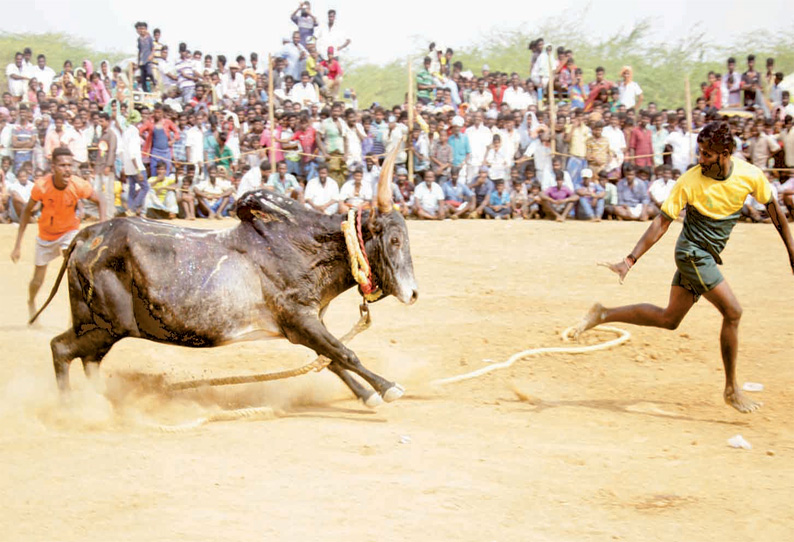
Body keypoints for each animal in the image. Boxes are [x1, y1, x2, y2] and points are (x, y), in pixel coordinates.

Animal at [30, 149, 418, 408]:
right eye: (395, 240)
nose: (413, 294)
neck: (307, 246)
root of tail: (87, 235)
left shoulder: (303, 326)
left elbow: (332, 360)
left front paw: (367, 394)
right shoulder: (300, 321)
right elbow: (344, 353)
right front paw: (386, 388)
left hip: (96, 325)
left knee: (84, 359)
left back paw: (96, 399)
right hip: (109, 326)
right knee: (60, 349)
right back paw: (72, 408)